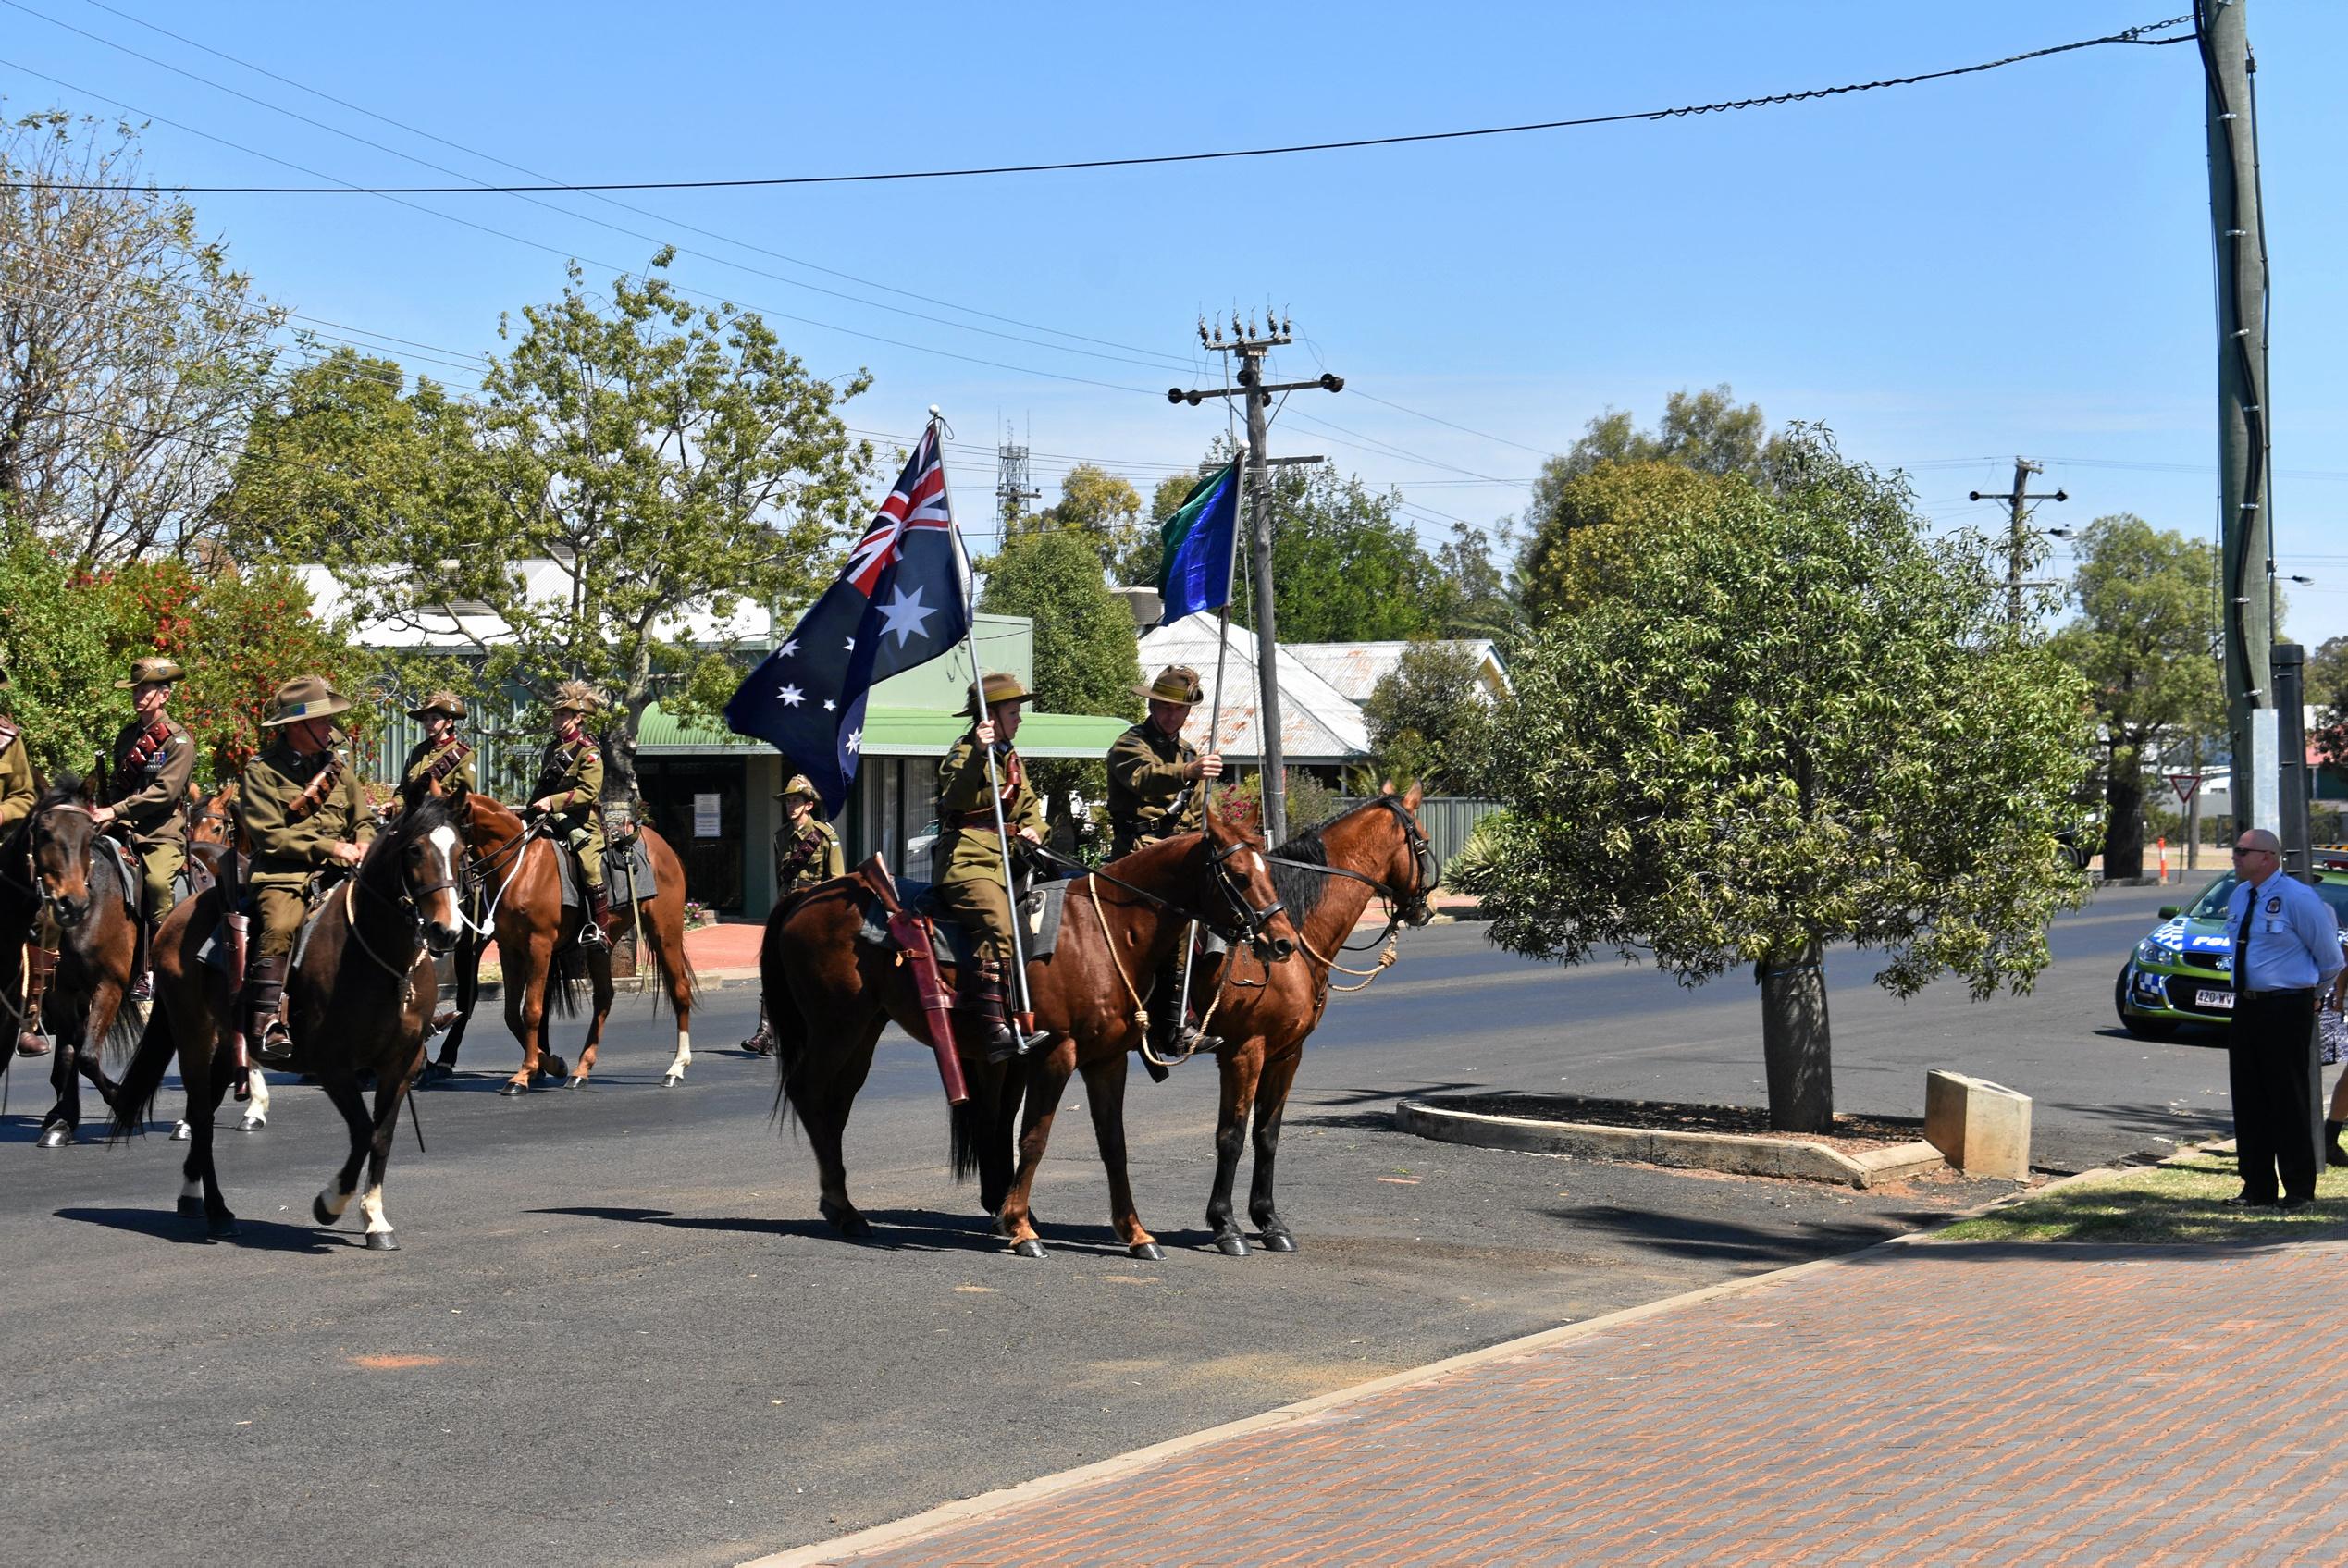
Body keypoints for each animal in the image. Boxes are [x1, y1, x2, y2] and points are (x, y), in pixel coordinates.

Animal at [112, 784, 469, 1248]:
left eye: (460, 850)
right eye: (414, 850)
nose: (448, 931)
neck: (386, 961)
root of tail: (177, 913)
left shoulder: (400, 1066)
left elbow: (382, 1137)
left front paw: (375, 1218)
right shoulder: (333, 1066)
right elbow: (362, 1132)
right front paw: (331, 1202)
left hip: (227, 1044)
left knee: (203, 1106)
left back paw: (192, 1193)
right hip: (193, 1035)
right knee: (202, 1118)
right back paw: (218, 1210)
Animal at [425, 788, 695, 1098]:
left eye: (450, 841)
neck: (521, 867)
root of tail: (664, 847)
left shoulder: (539, 946)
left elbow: (531, 1010)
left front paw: (523, 1075)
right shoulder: (510, 949)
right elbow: (511, 1014)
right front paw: (549, 1063)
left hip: (666, 932)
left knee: (680, 990)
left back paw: (676, 1067)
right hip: (602, 945)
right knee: (604, 996)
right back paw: (581, 1070)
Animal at [760, 807, 1295, 1258]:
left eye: (1269, 873)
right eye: (1240, 876)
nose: (1283, 943)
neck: (1105, 931)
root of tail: (806, 896)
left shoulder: (1106, 1061)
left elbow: (1113, 1144)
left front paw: (1135, 1233)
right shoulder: (1057, 1054)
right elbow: (1034, 1137)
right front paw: (1019, 1228)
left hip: (865, 1029)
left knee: (836, 1105)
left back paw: (843, 1207)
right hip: (837, 1026)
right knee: (810, 1092)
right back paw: (844, 1210)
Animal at [1202, 788, 1437, 1258]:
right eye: (1420, 840)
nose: (1425, 908)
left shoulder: (1286, 1054)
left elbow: (1267, 1134)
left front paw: (1269, 1220)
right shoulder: (1243, 1052)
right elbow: (1232, 1135)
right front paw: (1226, 1225)